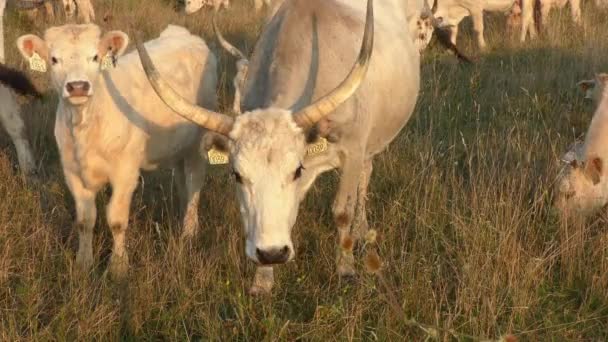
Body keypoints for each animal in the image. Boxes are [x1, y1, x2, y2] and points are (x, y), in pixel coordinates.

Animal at [15, 24, 218, 276]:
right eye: (54, 59)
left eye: (95, 57)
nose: (78, 86)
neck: (86, 124)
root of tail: (183, 34)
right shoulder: (72, 173)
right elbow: (85, 220)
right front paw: (84, 262)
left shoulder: (125, 173)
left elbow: (117, 220)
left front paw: (118, 266)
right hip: (178, 147)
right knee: (183, 182)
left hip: (199, 141)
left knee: (194, 182)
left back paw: (190, 231)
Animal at [138, 0, 422, 294]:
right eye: (236, 175)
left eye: (296, 170)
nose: (272, 253)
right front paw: (262, 280)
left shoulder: (352, 150)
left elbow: (343, 210)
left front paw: (346, 268)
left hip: (370, 143)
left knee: (365, 178)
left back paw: (361, 228)